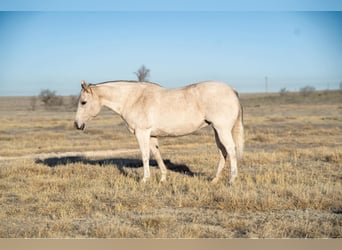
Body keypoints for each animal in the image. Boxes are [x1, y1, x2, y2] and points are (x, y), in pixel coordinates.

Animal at [74, 80, 243, 184]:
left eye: (83, 102)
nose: (77, 124)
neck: (133, 98)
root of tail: (232, 90)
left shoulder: (142, 133)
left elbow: (145, 155)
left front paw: (144, 179)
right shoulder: (152, 135)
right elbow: (156, 154)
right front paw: (163, 178)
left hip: (222, 129)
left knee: (230, 150)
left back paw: (231, 180)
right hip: (216, 130)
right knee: (223, 152)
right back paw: (214, 180)